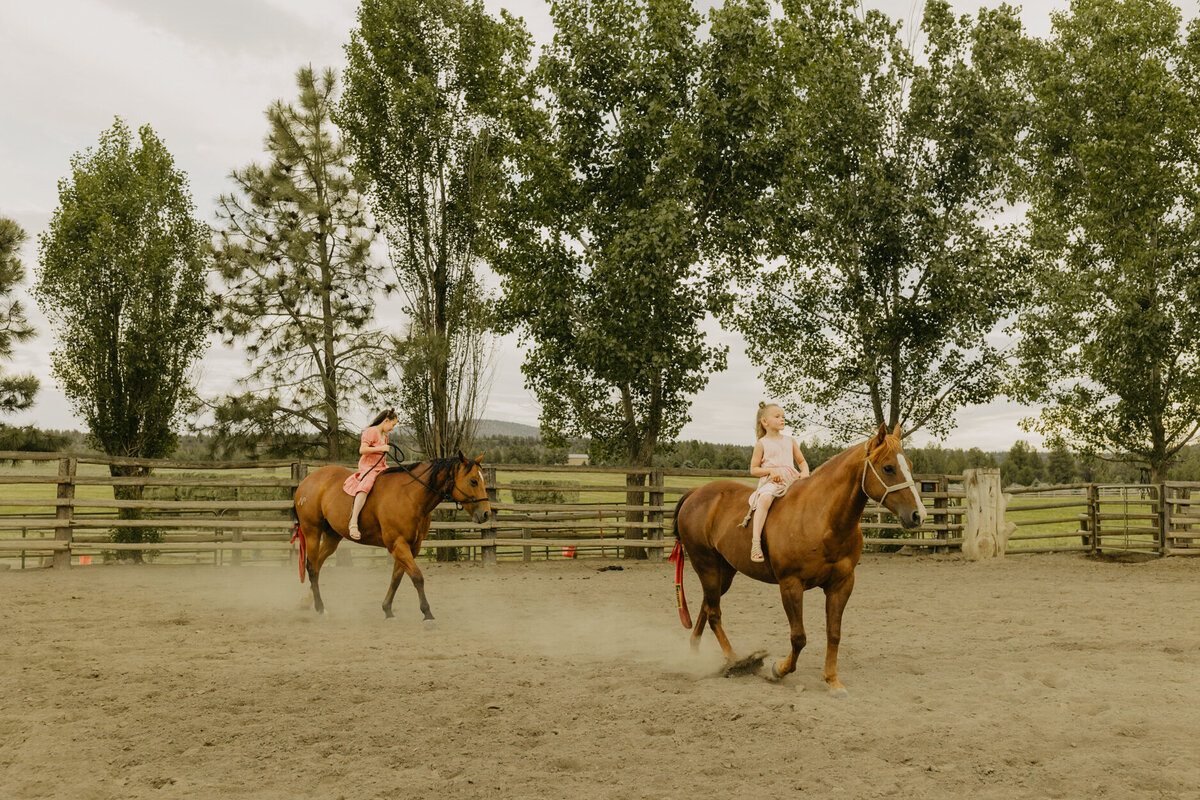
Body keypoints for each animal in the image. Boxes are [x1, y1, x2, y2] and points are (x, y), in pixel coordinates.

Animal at [290, 450, 492, 618]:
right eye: (473, 481)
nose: (486, 513)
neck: (411, 495)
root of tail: (307, 481)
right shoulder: (398, 544)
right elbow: (417, 577)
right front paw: (427, 613)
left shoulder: (411, 546)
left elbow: (397, 578)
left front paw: (387, 608)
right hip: (312, 531)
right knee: (312, 568)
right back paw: (320, 607)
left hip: (332, 537)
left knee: (317, 565)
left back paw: (307, 602)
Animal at [676, 424, 926, 695]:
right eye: (888, 468)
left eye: (909, 465)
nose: (918, 515)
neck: (821, 519)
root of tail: (695, 493)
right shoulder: (791, 585)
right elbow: (799, 637)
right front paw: (779, 670)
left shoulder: (841, 584)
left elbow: (834, 633)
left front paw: (832, 681)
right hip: (707, 566)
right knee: (714, 613)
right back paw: (736, 661)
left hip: (725, 572)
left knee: (707, 606)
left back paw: (695, 651)